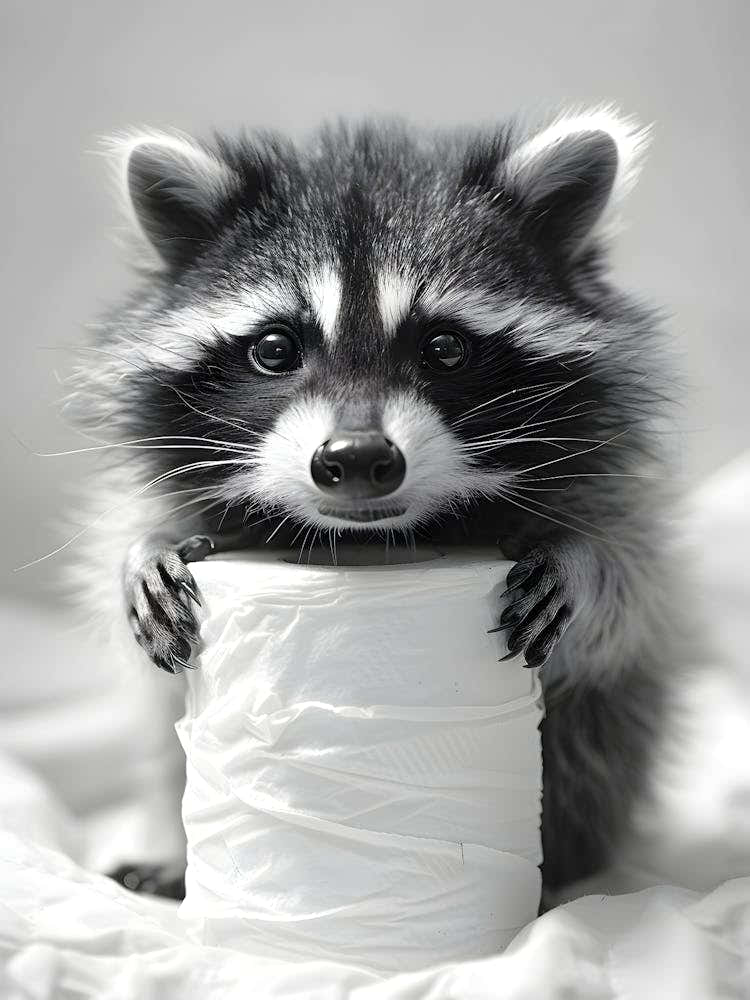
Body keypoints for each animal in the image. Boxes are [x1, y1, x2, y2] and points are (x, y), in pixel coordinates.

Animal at [67, 108, 678, 897]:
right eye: (275, 348)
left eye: (444, 347)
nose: (356, 460)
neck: (375, 538)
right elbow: (134, 560)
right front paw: (142, 552)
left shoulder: (613, 489)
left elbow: (634, 594)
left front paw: (582, 560)